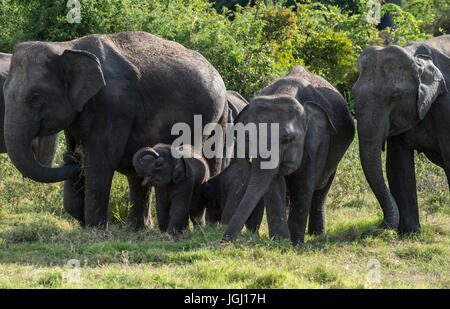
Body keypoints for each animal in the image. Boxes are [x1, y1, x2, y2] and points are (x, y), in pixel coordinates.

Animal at [2, 31, 229, 229]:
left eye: (35, 97)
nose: (72, 158)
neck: (68, 46)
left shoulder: (113, 103)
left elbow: (101, 161)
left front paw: (94, 230)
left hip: (215, 116)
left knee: (211, 160)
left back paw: (204, 226)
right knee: (138, 174)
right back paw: (137, 229)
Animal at [221, 66, 356, 244]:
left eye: (288, 139)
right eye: (248, 136)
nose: (222, 244)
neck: (286, 91)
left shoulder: (319, 139)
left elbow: (303, 183)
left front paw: (296, 244)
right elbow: (274, 184)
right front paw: (281, 242)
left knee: (322, 188)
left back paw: (317, 235)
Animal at [354, 35, 448, 232]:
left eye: (394, 96)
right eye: (353, 93)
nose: (379, 226)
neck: (416, 56)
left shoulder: (446, 104)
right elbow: (398, 166)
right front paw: (410, 233)